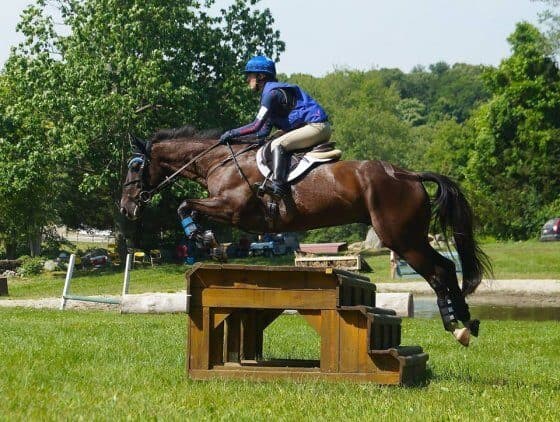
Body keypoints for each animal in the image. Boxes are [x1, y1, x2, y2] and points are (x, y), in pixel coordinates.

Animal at [120, 126, 492, 346]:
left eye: (136, 166)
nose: (126, 207)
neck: (219, 160)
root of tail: (410, 175)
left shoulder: (234, 208)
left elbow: (185, 205)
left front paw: (205, 239)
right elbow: (189, 208)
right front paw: (208, 241)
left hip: (401, 238)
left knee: (439, 271)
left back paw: (457, 326)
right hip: (410, 236)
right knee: (446, 267)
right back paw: (466, 321)